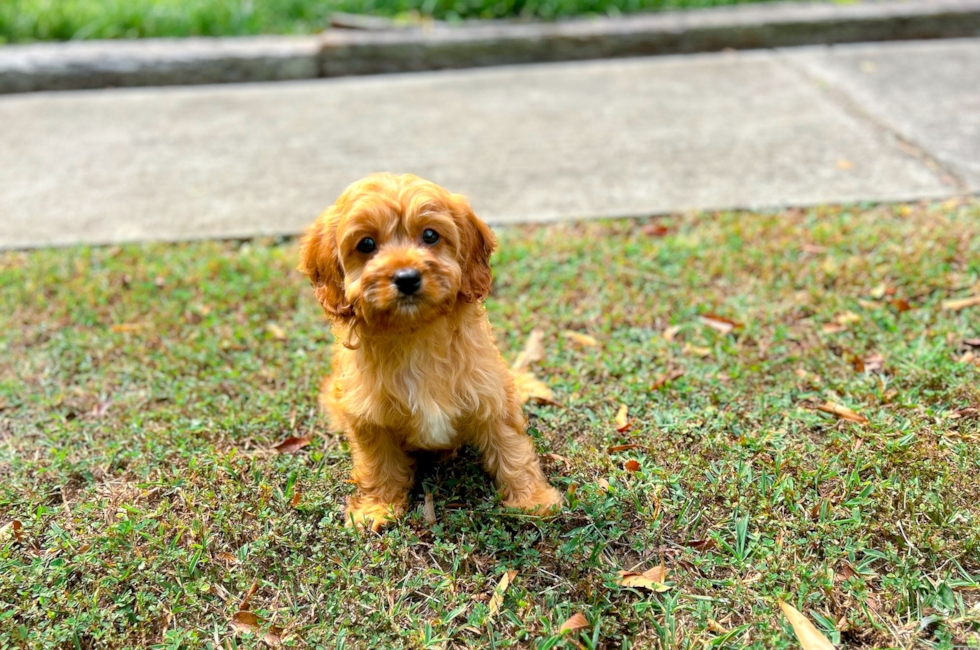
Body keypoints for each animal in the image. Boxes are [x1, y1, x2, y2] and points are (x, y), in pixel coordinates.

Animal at [294, 173, 564, 532]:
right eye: (366, 244)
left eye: (430, 235)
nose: (407, 278)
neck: (414, 333)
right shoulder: (368, 416)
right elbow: (377, 464)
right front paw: (378, 507)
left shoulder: (492, 395)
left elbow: (512, 449)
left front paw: (533, 499)